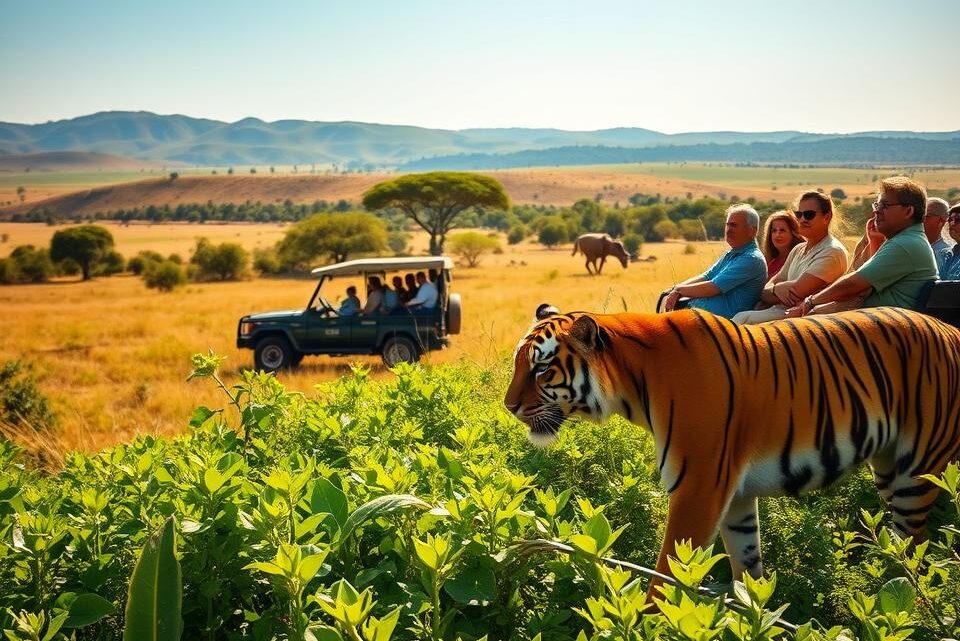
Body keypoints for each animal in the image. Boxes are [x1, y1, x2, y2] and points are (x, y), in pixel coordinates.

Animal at [504, 306, 960, 596]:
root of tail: (950, 329)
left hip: (916, 473)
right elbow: (747, 567)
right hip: (888, 469)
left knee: (913, 548)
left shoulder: (698, 488)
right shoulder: (736, 496)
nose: (508, 406)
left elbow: (667, 575)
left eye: (541, 368)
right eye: (518, 363)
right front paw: (752, 613)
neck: (634, 384)